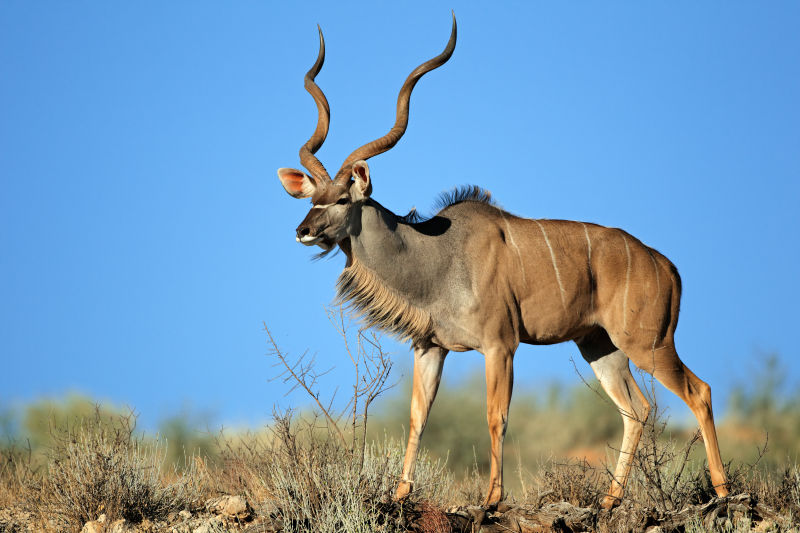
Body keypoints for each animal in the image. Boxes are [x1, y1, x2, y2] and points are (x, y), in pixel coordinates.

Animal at [276, 17, 732, 508]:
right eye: (312, 199)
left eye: (342, 199)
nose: (303, 230)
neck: (438, 256)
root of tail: (665, 265)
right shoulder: (429, 347)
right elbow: (418, 417)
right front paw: (399, 495)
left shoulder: (501, 345)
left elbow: (496, 416)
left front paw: (491, 499)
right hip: (600, 346)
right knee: (637, 409)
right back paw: (611, 500)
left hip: (648, 343)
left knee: (698, 391)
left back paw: (723, 491)